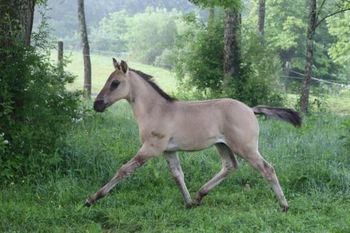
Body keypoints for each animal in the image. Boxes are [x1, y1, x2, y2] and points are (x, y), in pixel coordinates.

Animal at [85, 58, 300, 211]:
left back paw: (284, 206)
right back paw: (198, 196)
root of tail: (250, 109)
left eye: (115, 83)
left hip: (245, 148)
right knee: (230, 166)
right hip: (222, 145)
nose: (97, 104)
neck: (156, 110)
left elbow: (124, 170)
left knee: (267, 169)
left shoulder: (151, 148)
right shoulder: (169, 151)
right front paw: (188, 203)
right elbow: (177, 174)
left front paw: (92, 199)